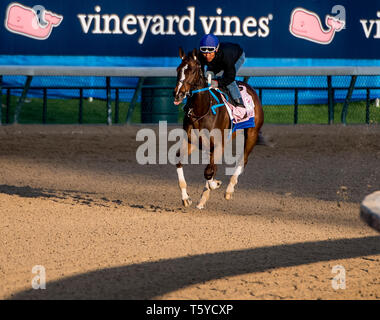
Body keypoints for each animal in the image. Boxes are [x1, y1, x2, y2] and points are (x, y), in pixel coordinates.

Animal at [174, 46, 262, 209]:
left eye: (193, 71)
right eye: (178, 69)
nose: (178, 94)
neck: (202, 110)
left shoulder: (218, 145)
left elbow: (209, 171)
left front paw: (215, 184)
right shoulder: (191, 142)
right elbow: (179, 160)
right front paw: (186, 198)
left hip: (252, 134)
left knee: (243, 160)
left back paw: (228, 190)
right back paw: (203, 198)